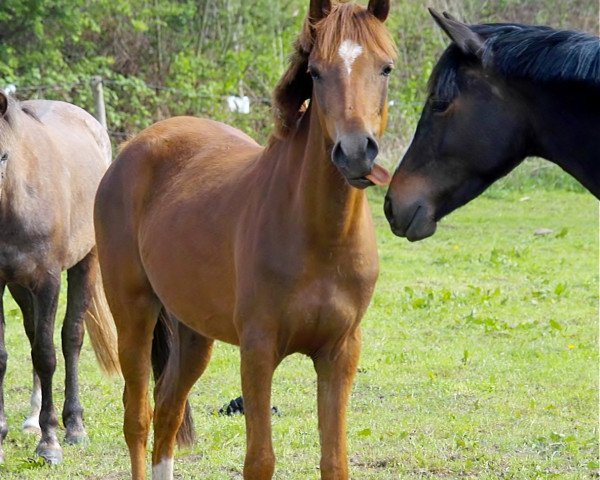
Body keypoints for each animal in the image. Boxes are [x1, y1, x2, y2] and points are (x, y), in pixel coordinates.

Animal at [0, 92, 120, 464]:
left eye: (2, 155)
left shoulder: (48, 280)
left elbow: (47, 353)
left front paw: (49, 441)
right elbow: (5, 354)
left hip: (85, 264)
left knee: (70, 338)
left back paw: (74, 426)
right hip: (19, 285)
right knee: (33, 332)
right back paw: (31, 419)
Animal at [92, 1, 394, 478]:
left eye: (385, 67)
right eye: (315, 71)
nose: (355, 152)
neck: (320, 239)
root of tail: (132, 150)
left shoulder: (340, 352)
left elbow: (334, 461)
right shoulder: (258, 350)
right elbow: (260, 459)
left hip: (195, 334)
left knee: (167, 411)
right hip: (133, 313)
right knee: (137, 416)